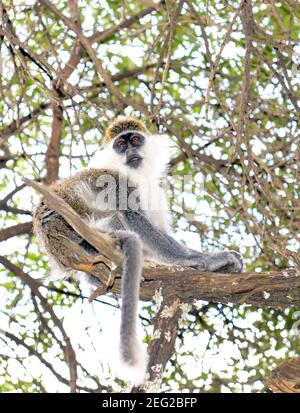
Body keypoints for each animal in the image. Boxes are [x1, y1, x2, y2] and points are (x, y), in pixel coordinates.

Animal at [33, 116, 244, 386]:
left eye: (135, 139)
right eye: (120, 144)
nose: (130, 151)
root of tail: (55, 245)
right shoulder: (116, 183)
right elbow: (136, 220)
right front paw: (205, 260)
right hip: (82, 232)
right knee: (116, 218)